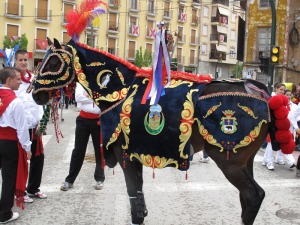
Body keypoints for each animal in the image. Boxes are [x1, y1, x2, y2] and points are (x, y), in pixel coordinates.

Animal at [31, 38, 274, 225]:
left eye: (54, 62)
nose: (35, 94)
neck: (121, 90)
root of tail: (259, 90)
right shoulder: (134, 154)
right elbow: (138, 193)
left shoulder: (124, 155)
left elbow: (133, 195)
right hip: (244, 162)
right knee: (247, 198)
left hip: (229, 161)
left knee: (254, 195)